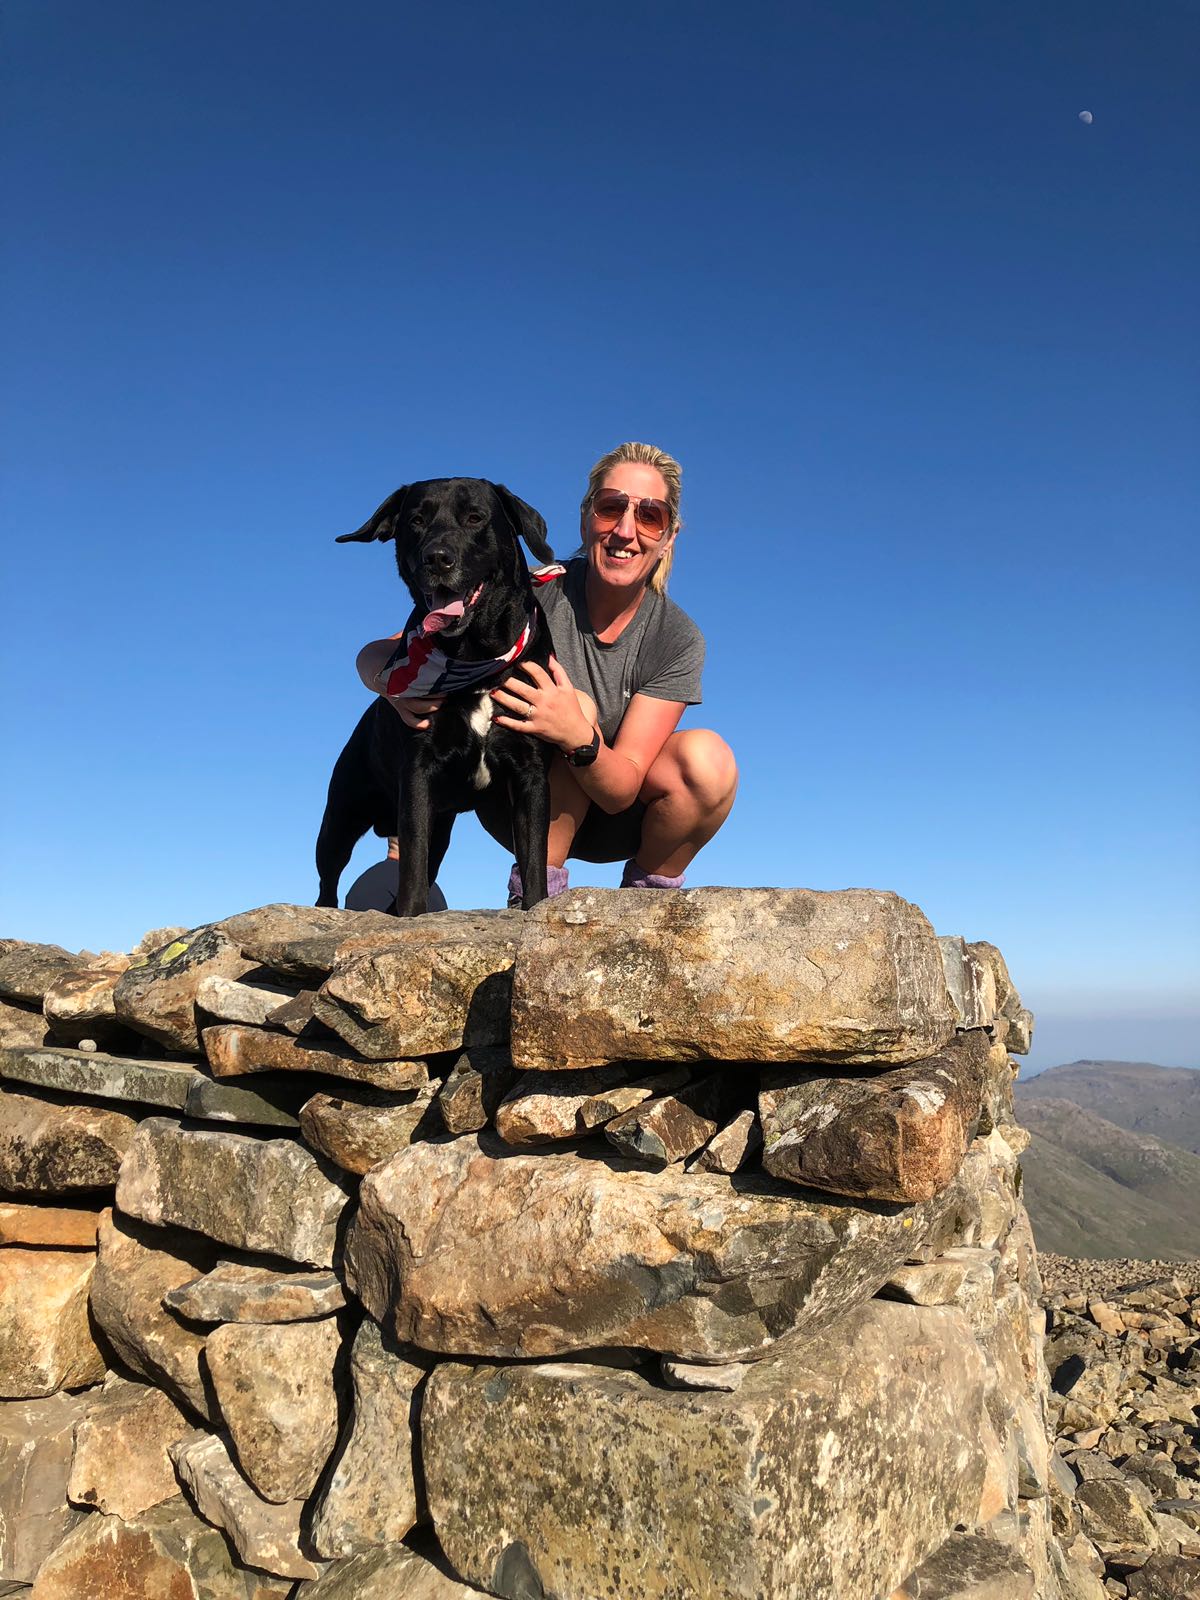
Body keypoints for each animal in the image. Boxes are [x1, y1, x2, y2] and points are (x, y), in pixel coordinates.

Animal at [315, 478, 558, 916]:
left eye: (475, 517)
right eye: (416, 520)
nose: (437, 558)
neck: (474, 657)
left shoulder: (530, 775)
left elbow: (534, 859)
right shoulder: (417, 774)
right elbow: (411, 863)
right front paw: (411, 918)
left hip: (439, 824)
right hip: (339, 818)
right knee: (329, 880)